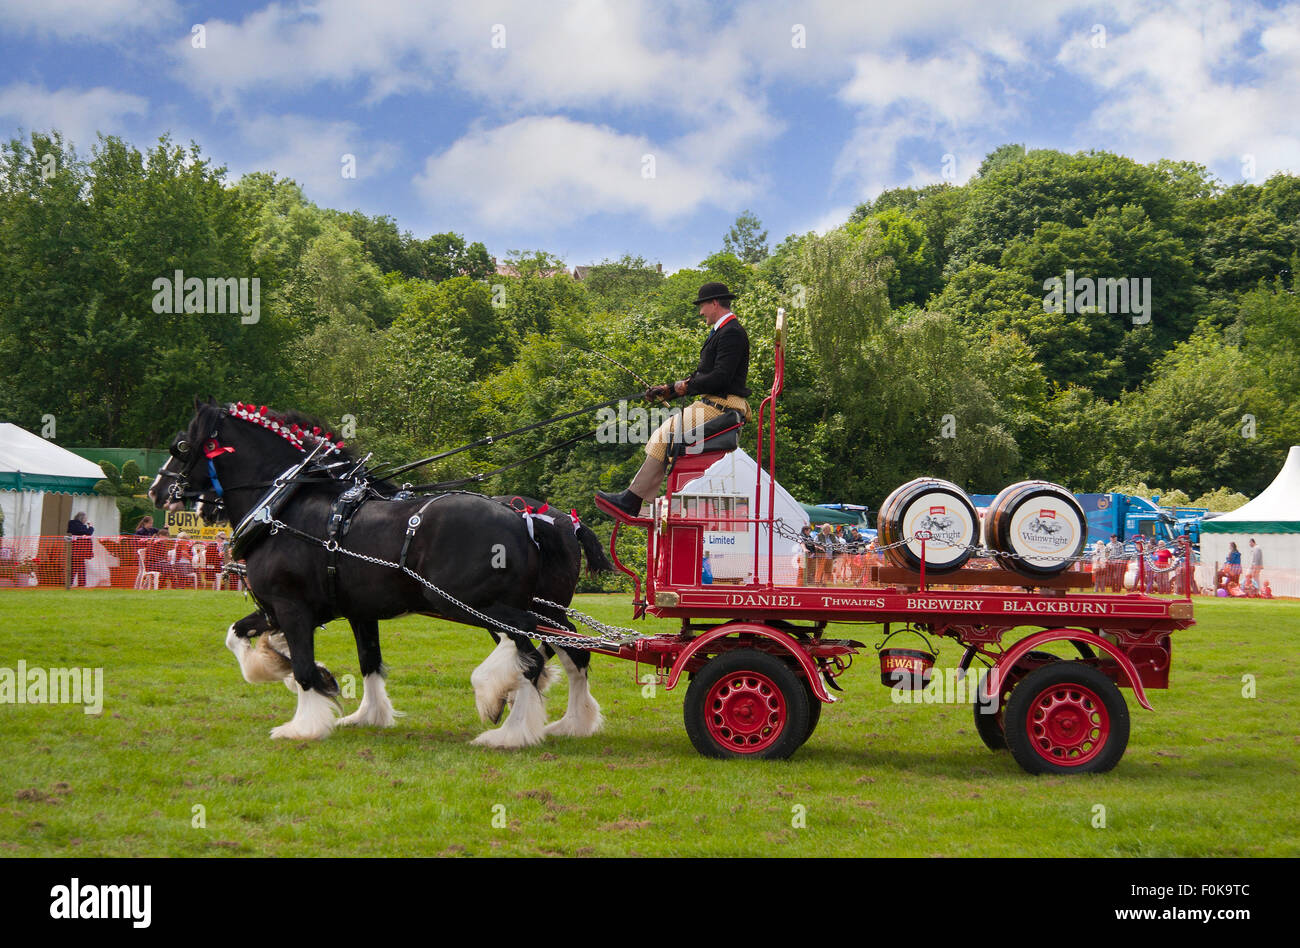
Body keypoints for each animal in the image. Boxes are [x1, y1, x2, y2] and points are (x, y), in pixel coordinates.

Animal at [162, 395, 579, 743]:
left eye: (180, 446)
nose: (158, 490)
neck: (282, 508)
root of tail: (522, 517)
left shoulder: (292, 606)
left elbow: (303, 667)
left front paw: (303, 724)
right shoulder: (335, 610)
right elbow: (363, 661)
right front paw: (359, 709)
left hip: (472, 605)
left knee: (530, 654)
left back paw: (509, 729)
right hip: (513, 607)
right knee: (554, 650)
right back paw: (563, 722)